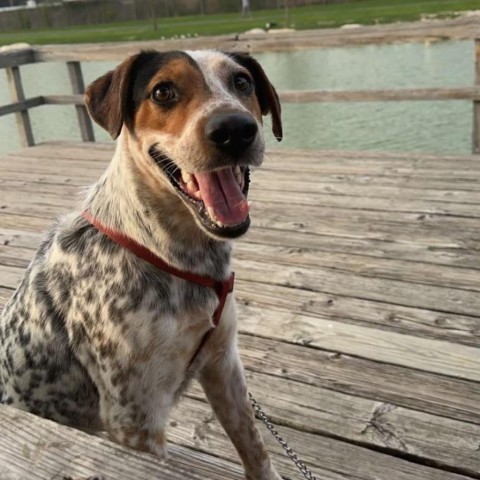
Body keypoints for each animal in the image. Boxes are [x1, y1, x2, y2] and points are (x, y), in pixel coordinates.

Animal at [0, 50, 284, 478]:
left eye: (242, 82)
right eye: (163, 91)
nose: (235, 129)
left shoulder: (223, 362)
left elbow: (255, 447)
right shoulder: (134, 415)